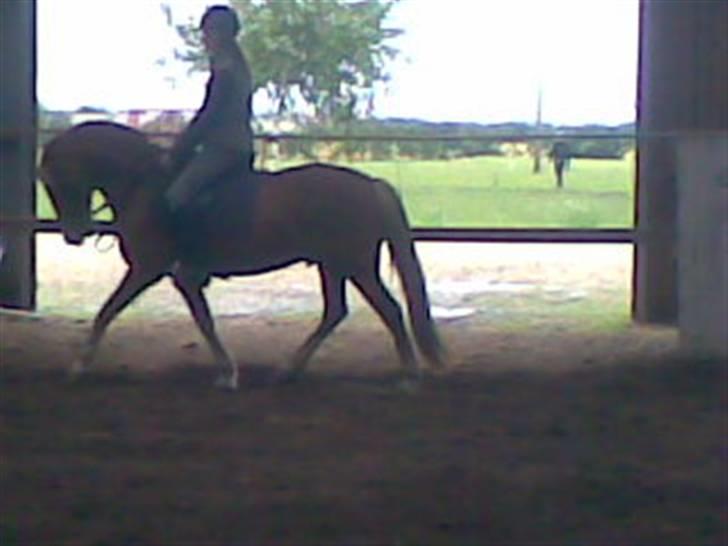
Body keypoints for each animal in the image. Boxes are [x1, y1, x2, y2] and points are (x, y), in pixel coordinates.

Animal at [39, 121, 445, 390]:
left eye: (55, 181)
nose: (74, 234)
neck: (146, 186)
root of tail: (370, 185)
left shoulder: (147, 269)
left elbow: (106, 312)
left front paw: (78, 366)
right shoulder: (183, 278)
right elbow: (204, 321)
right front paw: (227, 372)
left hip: (355, 265)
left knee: (389, 310)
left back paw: (409, 377)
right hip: (332, 266)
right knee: (335, 312)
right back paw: (289, 370)